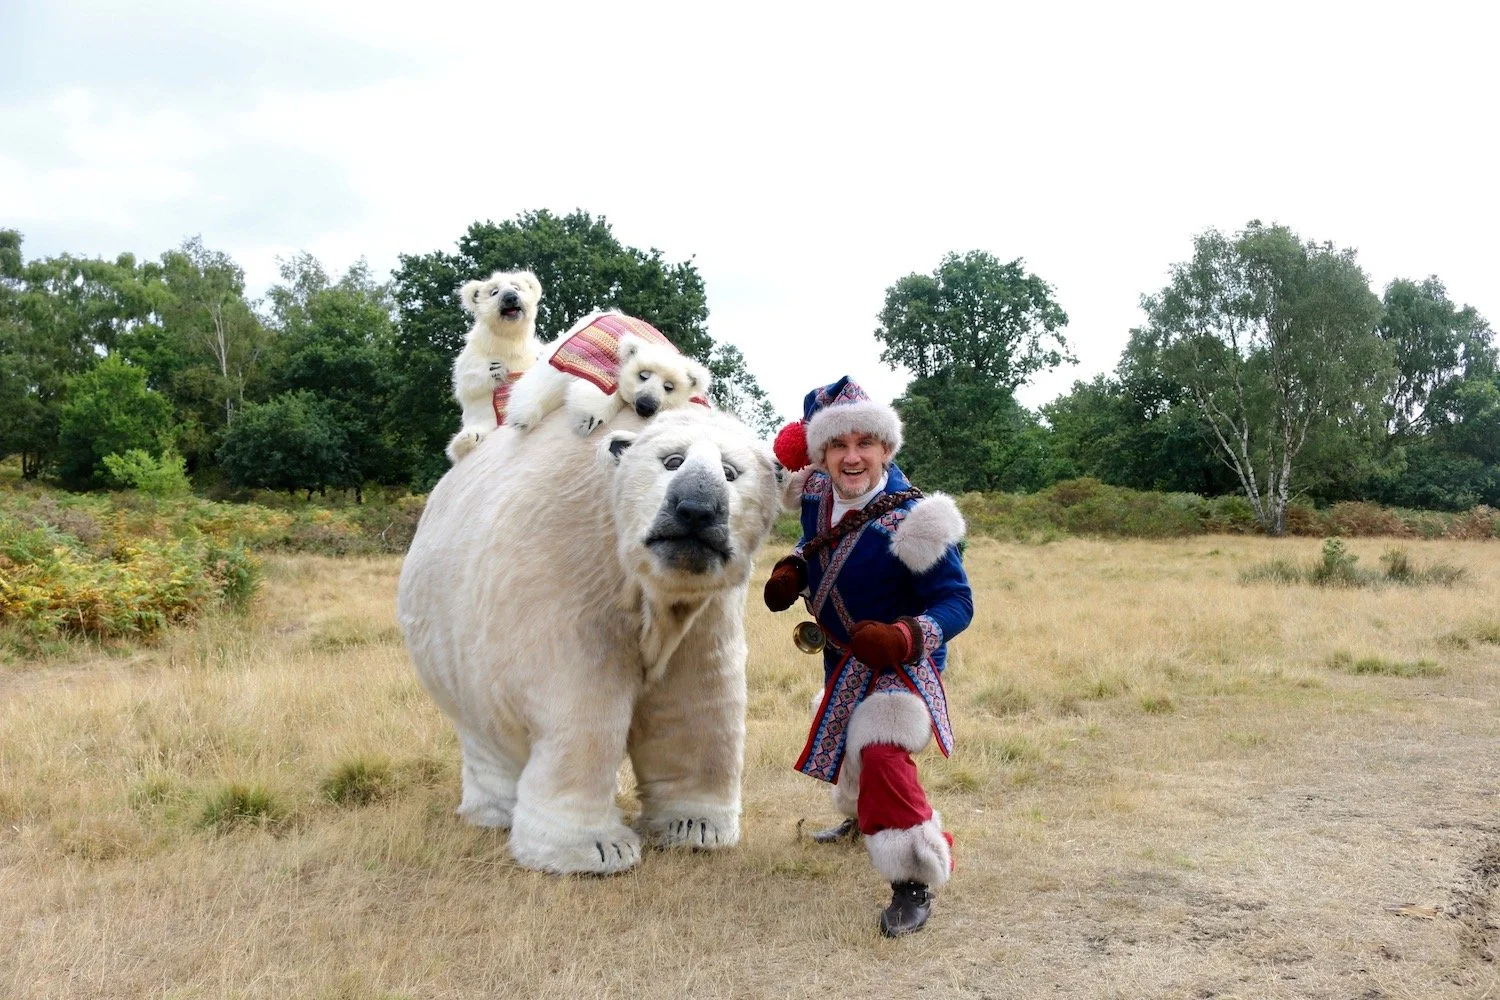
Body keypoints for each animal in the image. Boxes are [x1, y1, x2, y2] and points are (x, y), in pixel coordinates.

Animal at [396, 404, 783, 874]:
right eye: (672, 461)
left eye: (730, 472)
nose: (695, 511)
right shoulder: (570, 567)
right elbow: (583, 704)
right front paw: (595, 849)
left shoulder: (709, 610)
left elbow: (695, 703)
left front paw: (697, 827)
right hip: (454, 644)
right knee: (487, 733)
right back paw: (495, 813)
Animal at [446, 270, 544, 464]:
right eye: (494, 292)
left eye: (516, 287)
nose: (511, 297)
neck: (507, 344)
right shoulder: (474, 353)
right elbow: (466, 382)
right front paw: (496, 369)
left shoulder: (529, 352)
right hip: (482, 422)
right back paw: (467, 439)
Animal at [505, 310, 711, 438]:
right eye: (643, 375)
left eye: (669, 387)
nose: (646, 405)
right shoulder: (596, 358)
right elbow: (597, 386)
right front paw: (587, 419)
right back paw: (521, 416)